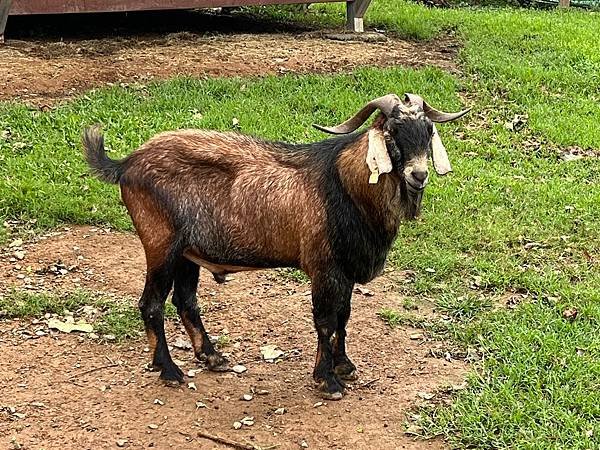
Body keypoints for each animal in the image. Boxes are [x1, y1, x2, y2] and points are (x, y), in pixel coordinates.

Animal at [83, 93, 468, 400]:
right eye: (390, 134)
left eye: (428, 132)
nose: (419, 175)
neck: (343, 186)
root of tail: (127, 164)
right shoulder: (323, 267)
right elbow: (326, 321)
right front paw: (327, 380)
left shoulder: (344, 270)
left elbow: (344, 317)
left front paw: (344, 366)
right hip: (160, 244)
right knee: (151, 304)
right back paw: (169, 370)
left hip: (187, 253)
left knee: (185, 301)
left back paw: (212, 357)